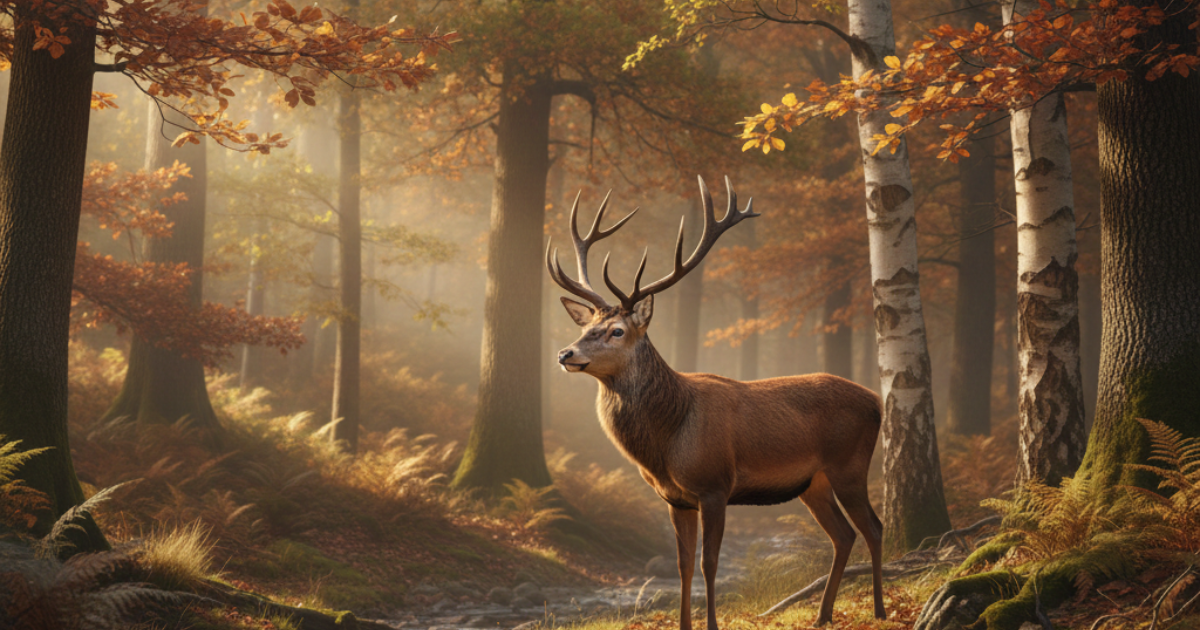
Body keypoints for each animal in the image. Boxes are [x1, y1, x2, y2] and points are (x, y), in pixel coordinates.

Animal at [546, 176, 886, 629]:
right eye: (588, 327)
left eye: (617, 330)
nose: (565, 353)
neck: (669, 440)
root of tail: (877, 401)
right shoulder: (675, 498)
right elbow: (683, 565)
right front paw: (684, 624)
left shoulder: (715, 485)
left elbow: (710, 563)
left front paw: (710, 624)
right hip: (812, 483)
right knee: (844, 534)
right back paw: (823, 615)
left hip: (849, 464)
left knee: (874, 527)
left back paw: (880, 609)